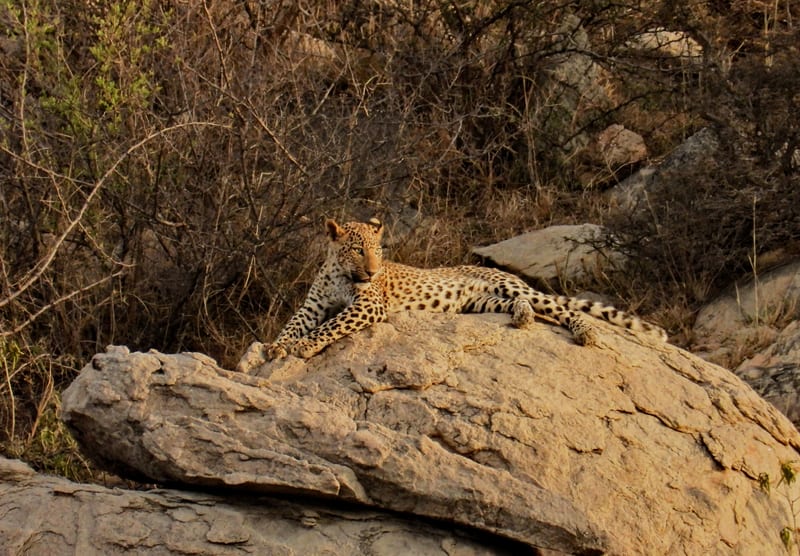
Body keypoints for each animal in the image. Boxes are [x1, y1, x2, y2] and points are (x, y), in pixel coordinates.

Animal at [264, 218, 667, 360]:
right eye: (357, 249)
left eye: (377, 250)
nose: (373, 269)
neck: (339, 272)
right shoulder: (312, 306)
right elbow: (292, 324)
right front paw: (275, 346)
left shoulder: (367, 306)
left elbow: (331, 326)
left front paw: (304, 346)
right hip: (482, 301)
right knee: (530, 308)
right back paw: (522, 319)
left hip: (507, 285)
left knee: (560, 308)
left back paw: (586, 333)